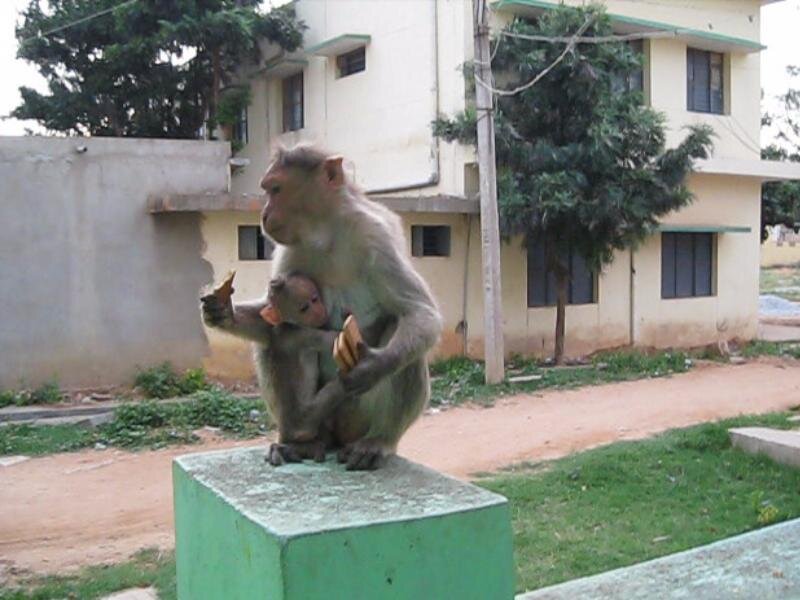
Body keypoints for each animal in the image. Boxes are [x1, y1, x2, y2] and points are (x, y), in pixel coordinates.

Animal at [201, 272, 347, 465]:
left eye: (315, 298)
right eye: (304, 308)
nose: (320, 312)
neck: (289, 324)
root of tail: (286, 430)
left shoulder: (271, 329)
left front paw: (222, 312)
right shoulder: (304, 334)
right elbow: (335, 339)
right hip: (305, 419)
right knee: (340, 387)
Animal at [257, 144, 443, 470]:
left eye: (276, 189)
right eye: (267, 190)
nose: (264, 214)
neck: (327, 235)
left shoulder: (375, 237)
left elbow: (420, 313)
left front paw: (373, 367)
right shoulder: (289, 252)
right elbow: (276, 316)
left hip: (358, 417)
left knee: (403, 334)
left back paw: (379, 440)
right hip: (326, 419)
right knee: (276, 340)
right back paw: (299, 437)